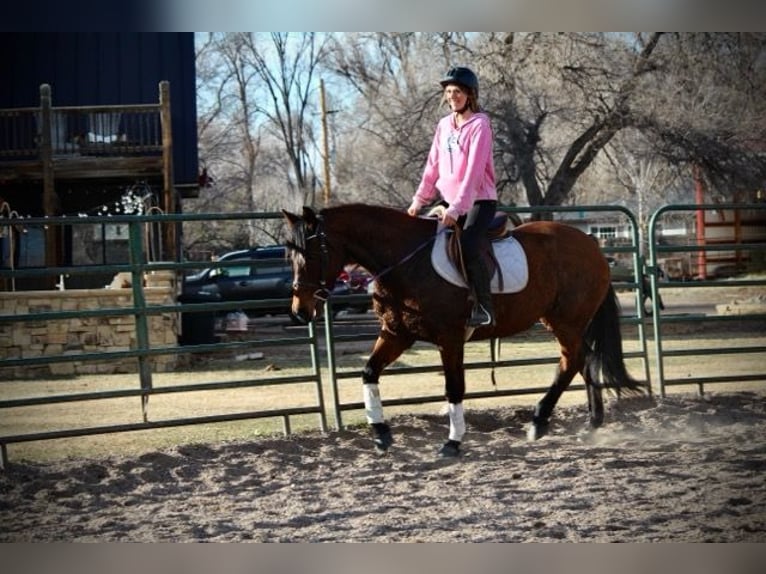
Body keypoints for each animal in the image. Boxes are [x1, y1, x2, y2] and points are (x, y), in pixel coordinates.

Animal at [284, 202, 648, 460]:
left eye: (312, 254)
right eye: (291, 255)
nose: (300, 311)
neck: (406, 261)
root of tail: (591, 243)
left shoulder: (450, 339)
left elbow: (454, 389)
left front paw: (452, 443)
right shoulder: (396, 334)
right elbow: (369, 372)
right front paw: (380, 433)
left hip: (566, 321)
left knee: (572, 361)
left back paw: (540, 421)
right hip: (564, 322)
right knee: (584, 360)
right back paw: (590, 423)